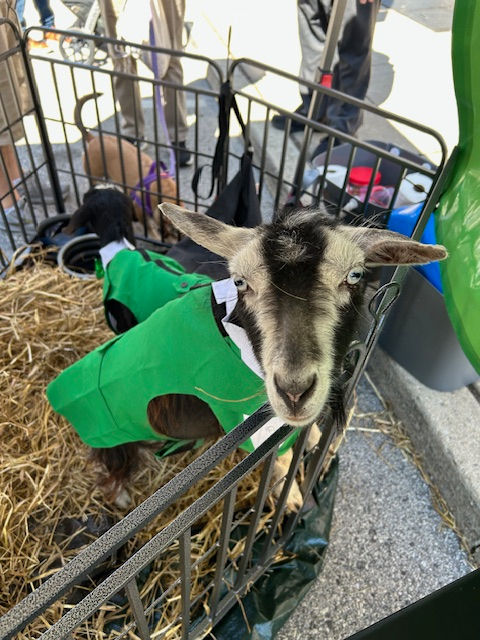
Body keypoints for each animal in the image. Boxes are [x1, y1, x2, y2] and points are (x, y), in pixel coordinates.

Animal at [49, 201, 447, 510]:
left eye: (355, 275)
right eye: (240, 282)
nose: (294, 390)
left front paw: (315, 445)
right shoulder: (245, 420)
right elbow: (280, 457)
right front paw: (291, 501)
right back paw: (120, 495)